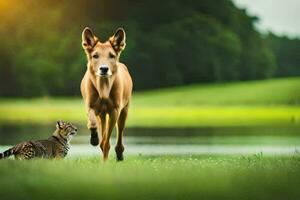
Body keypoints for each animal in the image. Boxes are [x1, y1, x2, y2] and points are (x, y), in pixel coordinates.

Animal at [80, 27, 132, 161]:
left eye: (112, 55)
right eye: (95, 55)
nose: (104, 69)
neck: (103, 89)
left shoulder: (115, 110)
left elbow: (106, 142)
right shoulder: (91, 106)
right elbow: (92, 123)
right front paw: (94, 139)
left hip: (125, 109)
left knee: (120, 130)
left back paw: (119, 154)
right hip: (102, 114)